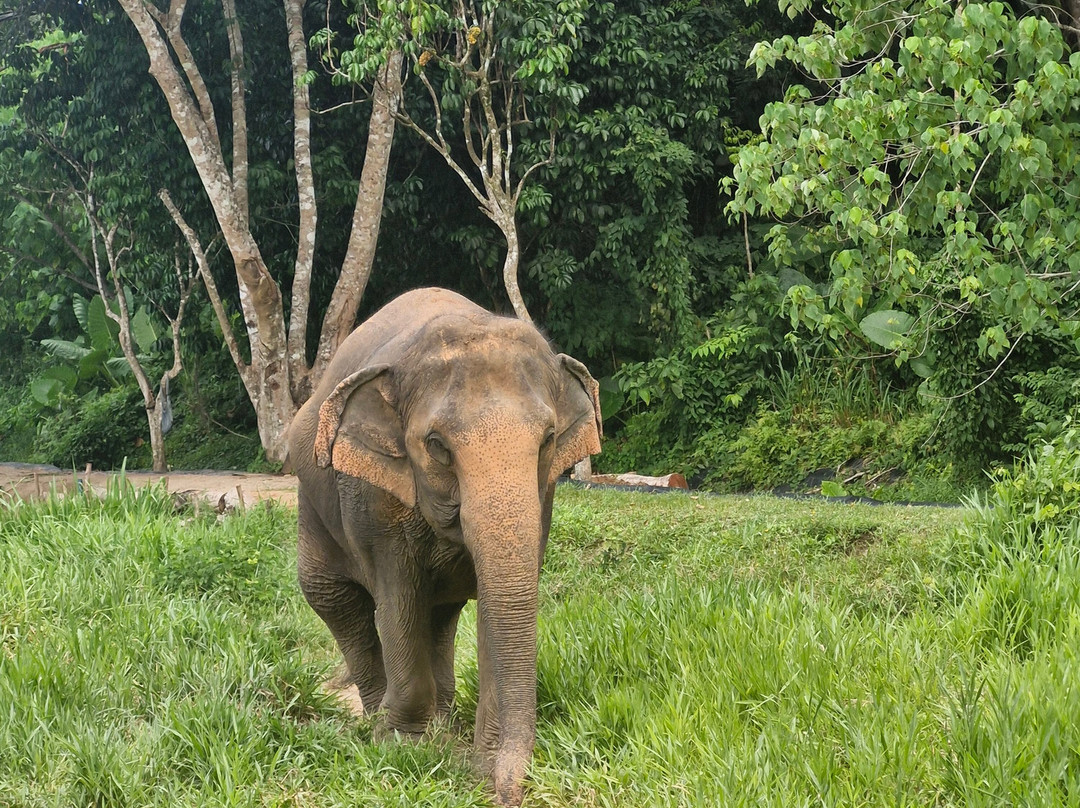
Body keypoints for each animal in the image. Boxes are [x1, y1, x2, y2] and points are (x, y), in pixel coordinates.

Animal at [287, 287, 602, 806]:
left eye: (550, 439)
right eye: (436, 445)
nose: (509, 794)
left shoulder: (544, 499)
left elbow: (494, 608)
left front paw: (478, 762)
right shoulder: (372, 500)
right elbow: (398, 606)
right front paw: (403, 748)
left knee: (440, 614)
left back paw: (442, 720)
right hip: (312, 510)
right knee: (337, 603)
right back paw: (378, 721)